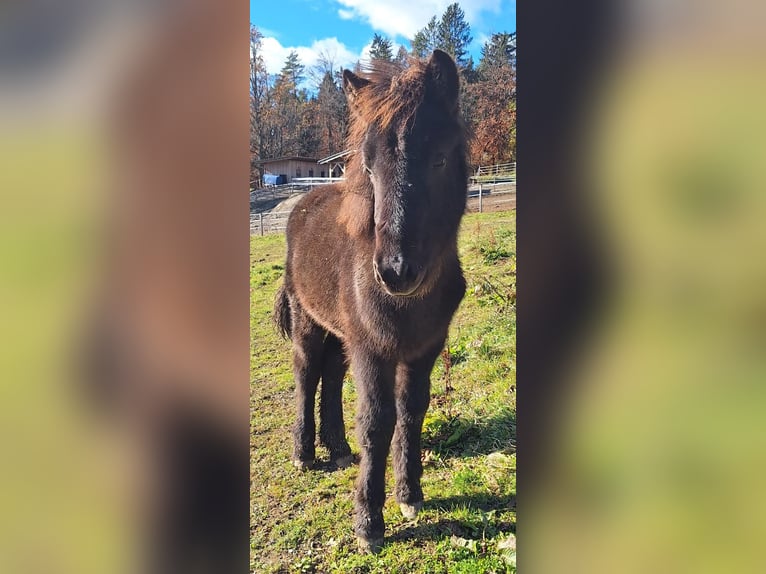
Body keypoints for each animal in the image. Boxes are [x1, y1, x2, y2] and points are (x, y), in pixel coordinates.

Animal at [276, 51, 468, 556]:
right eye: (368, 165)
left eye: (439, 158)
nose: (396, 272)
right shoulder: (371, 348)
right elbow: (377, 421)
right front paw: (368, 523)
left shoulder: (424, 346)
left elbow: (412, 410)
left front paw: (410, 496)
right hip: (309, 322)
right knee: (306, 374)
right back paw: (305, 454)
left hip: (340, 333)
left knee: (329, 374)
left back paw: (338, 447)